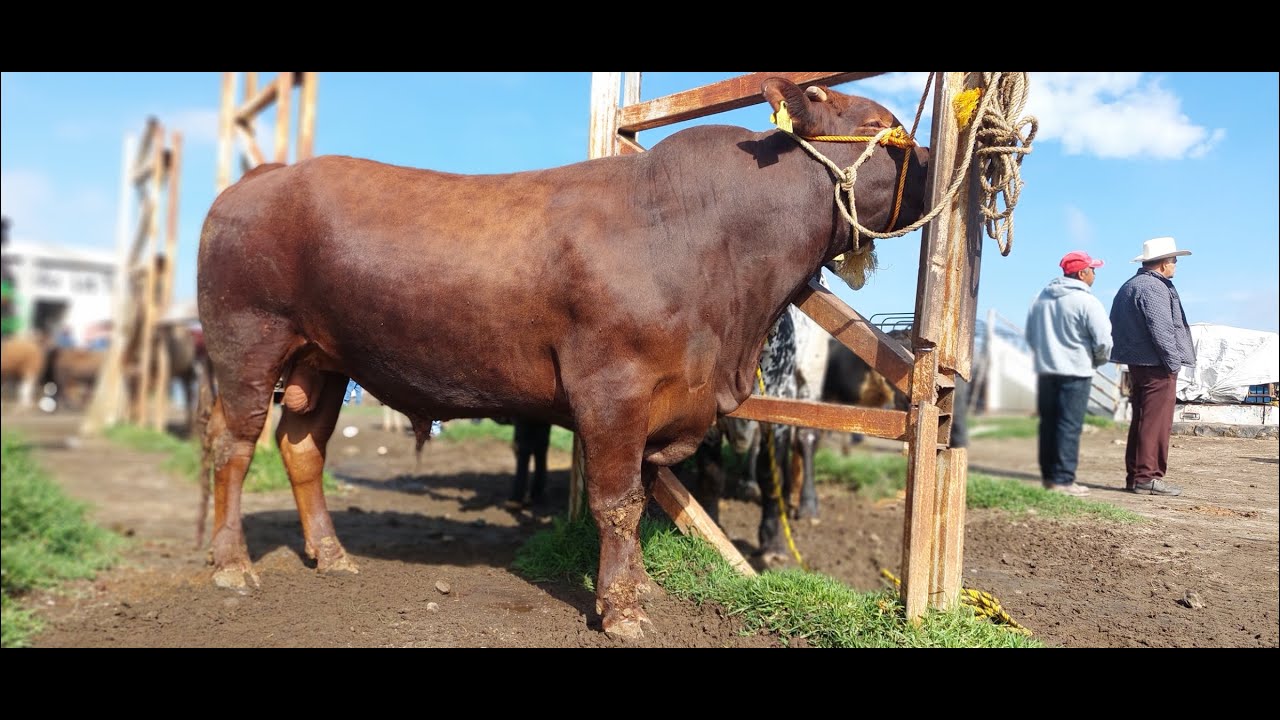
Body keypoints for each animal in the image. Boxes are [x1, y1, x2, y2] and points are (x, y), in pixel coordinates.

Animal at [196, 77, 930, 639]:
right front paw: (622, 611)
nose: (933, 168)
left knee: (301, 447)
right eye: (882, 125)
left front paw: (637, 588)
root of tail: (265, 176)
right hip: (248, 344)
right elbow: (618, 502)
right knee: (235, 446)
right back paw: (232, 565)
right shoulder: (613, 390)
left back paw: (330, 554)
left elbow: (638, 496)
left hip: (323, 361)